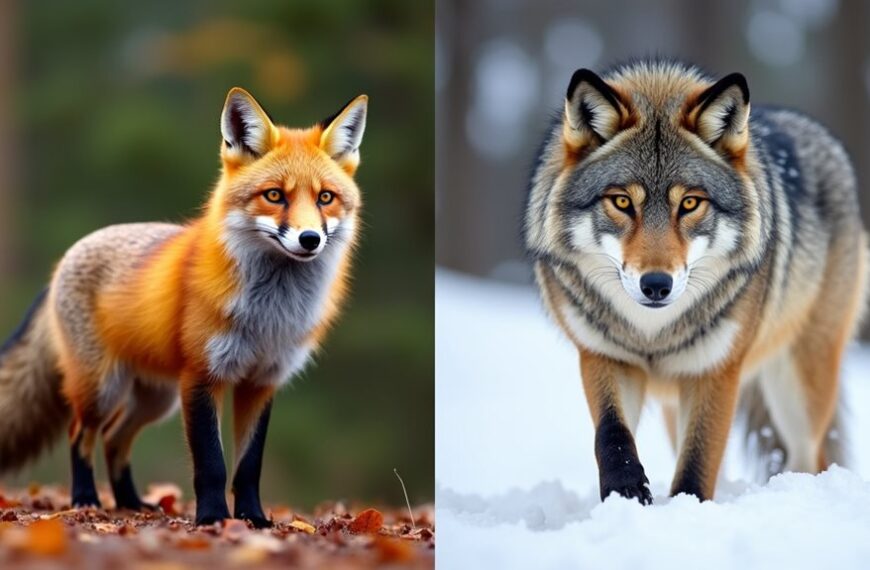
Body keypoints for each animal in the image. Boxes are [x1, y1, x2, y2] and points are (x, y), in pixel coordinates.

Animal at [0, 87, 368, 527]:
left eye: (325, 198)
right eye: (274, 195)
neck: (269, 313)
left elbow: (249, 466)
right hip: (102, 388)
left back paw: (130, 502)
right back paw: (86, 498)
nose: (310, 239)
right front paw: (212, 518)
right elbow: (212, 464)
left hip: (155, 399)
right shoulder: (201, 376)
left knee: (114, 439)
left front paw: (253, 518)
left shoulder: (261, 382)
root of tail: (64, 259)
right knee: (81, 436)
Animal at [524, 59, 868, 503]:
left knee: (809, 458)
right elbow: (611, 433)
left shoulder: (716, 372)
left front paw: (688, 505)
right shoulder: (604, 356)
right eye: (622, 202)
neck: (653, 334)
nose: (656, 284)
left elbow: (699, 462)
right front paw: (626, 491)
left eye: (689, 203)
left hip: (798, 388)